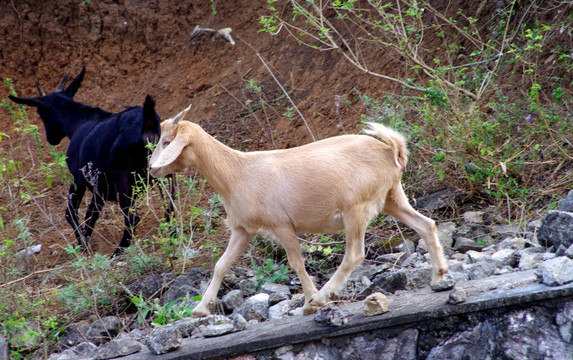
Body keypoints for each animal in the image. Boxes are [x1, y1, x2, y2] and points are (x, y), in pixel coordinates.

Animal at [9, 67, 165, 253]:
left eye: (41, 112)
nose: (51, 139)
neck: (80, 121)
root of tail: (146, 121)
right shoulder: (100, 189)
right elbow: (91, 214)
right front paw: (86, 239)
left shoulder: (78, 178)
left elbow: (71, 211)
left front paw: (82, 245)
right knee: (170, 205)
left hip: (123, 178)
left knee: (132, 218)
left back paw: (117, 252)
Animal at [147, 108, 446, 316]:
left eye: (167, 142)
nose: (151, 169)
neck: (238, 173)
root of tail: (391, 150)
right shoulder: (243, 229)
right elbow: (221, 264)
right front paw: (200, 309)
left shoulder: (281, 225)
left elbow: (296, 263)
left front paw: (310, 301)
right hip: (391, 198)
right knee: (426, 224)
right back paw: (439, 276)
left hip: (356, 208)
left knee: (355, 254)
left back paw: (323, 296)